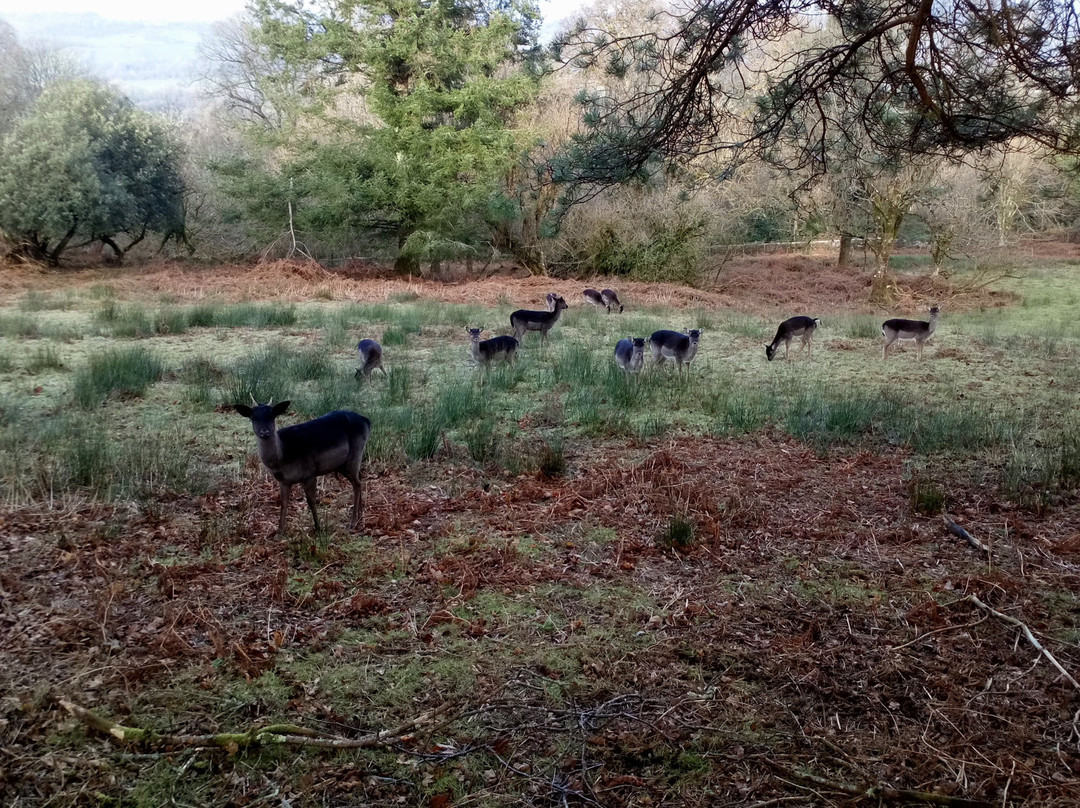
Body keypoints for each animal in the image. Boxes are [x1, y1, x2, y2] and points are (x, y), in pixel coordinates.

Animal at [232, 401, 371, 540]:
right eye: (253, 418)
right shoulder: (283, 481)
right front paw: (279, 534)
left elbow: (311, 501)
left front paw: (318, 528)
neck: (282, 457)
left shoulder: (309, 473)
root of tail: (366, 420)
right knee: (359, 479)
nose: (265, 432)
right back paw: (360, 516)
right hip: (344, 464)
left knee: (357, 484)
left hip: (354, 455)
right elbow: (283, 503)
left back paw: (353, 522)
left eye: (272, 416)